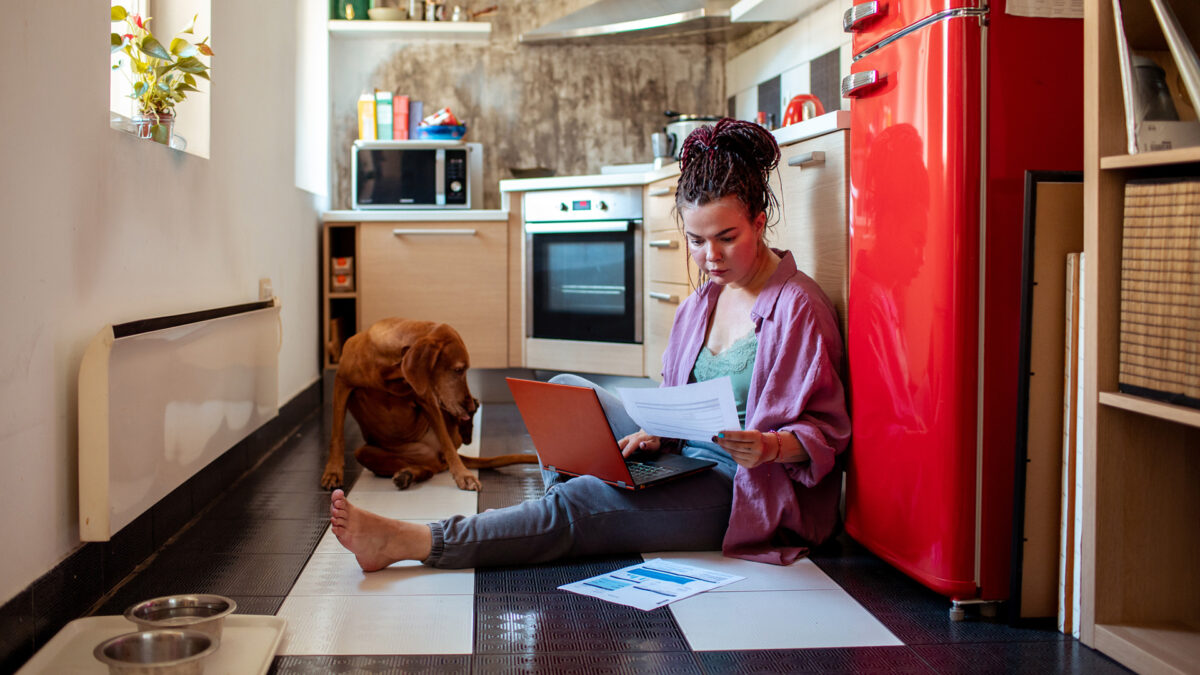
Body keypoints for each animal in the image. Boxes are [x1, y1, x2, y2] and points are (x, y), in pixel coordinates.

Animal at [326, 314, 537, 487]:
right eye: (458, 370)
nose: (468, 407)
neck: (388, 370)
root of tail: (435, 458)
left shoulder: (426, 399)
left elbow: (445, 440)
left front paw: (463, 475)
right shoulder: (341, 384)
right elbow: (336, 433)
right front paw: (333, 471)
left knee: (445, 453)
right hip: (365, 453)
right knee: (425, 469)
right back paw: (408, 474)